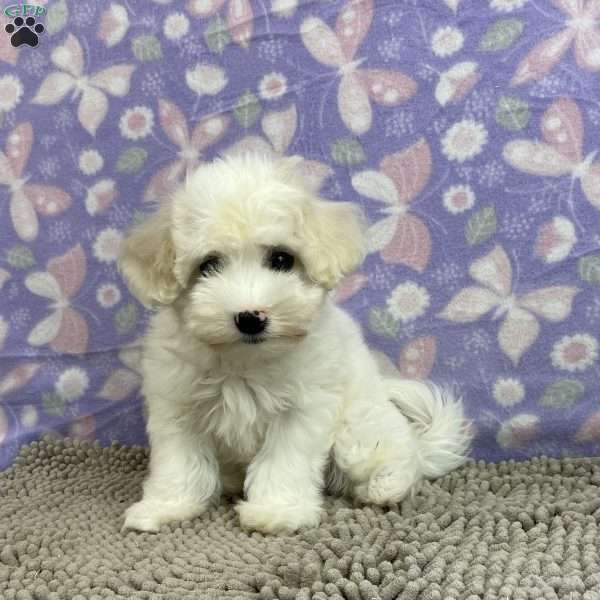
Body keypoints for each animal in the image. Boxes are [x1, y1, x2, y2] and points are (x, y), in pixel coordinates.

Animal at [118, 155, 474, 536]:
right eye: (209, 265)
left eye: (281, 260)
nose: (250, 317)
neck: (245, 359)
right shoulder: (177, 404)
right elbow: (180, 463)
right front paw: (165, 507)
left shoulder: (304, 408)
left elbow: (284, 461)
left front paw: (276, 511)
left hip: (359, 428)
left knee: (395, 455)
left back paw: (385, 486)